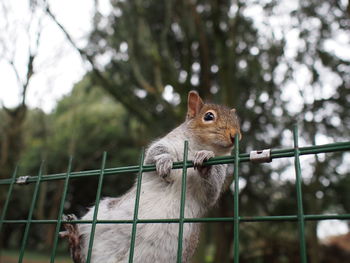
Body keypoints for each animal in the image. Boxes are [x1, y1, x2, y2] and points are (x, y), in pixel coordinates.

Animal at [60, 89, 241, 262]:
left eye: (237, 122)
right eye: (209, 116)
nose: (236, 135)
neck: (197, 147)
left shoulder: (219, 174)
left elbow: (211, 191)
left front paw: (205, 158)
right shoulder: (166, 143)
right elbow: (155, 153)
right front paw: (164, 160)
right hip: (97, 217)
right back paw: (74, 237)